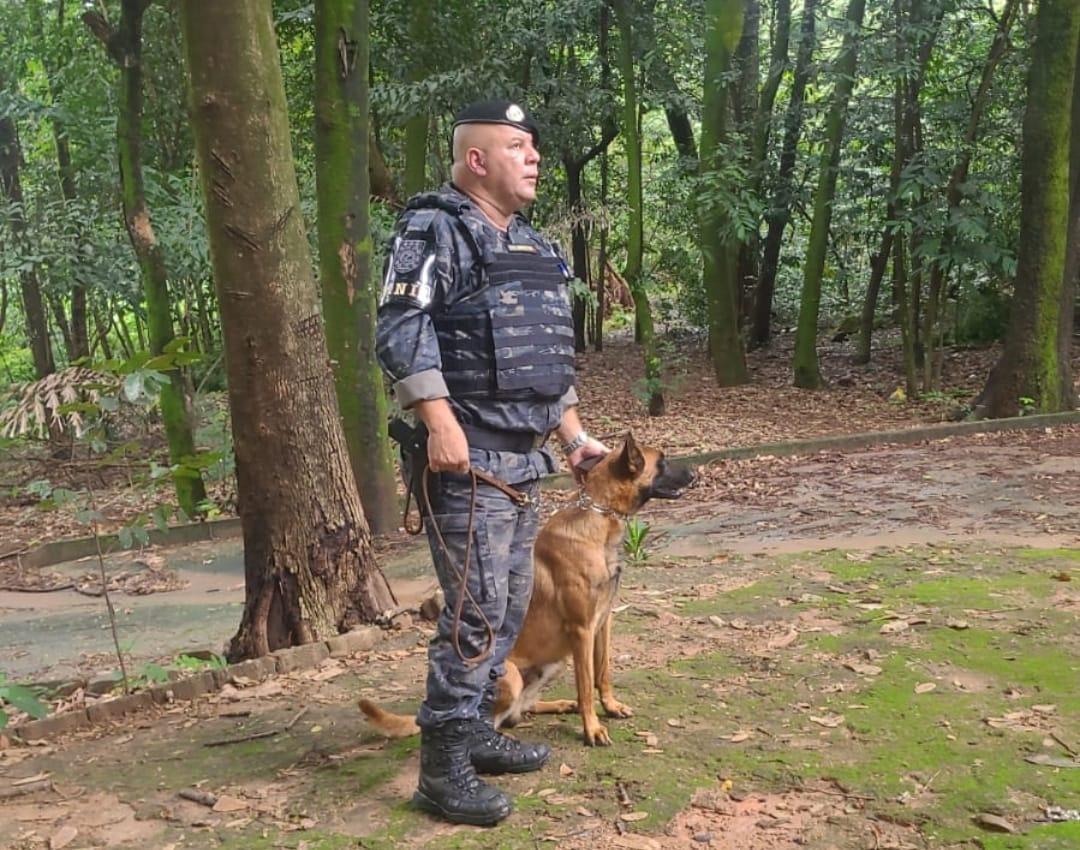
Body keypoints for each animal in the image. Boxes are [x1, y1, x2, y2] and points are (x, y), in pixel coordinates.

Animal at [358, 436, 695, 747]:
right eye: (662, 462)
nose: (694, 473)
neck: (597, 519)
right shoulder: (582, 631)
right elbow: (586, 686)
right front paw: (593, 728)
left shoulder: (603, 623)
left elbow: (603, 672)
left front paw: (610, 706)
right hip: (511, 675)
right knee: (497, 717)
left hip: (554, 663)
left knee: (521, 710)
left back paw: (558, 705)